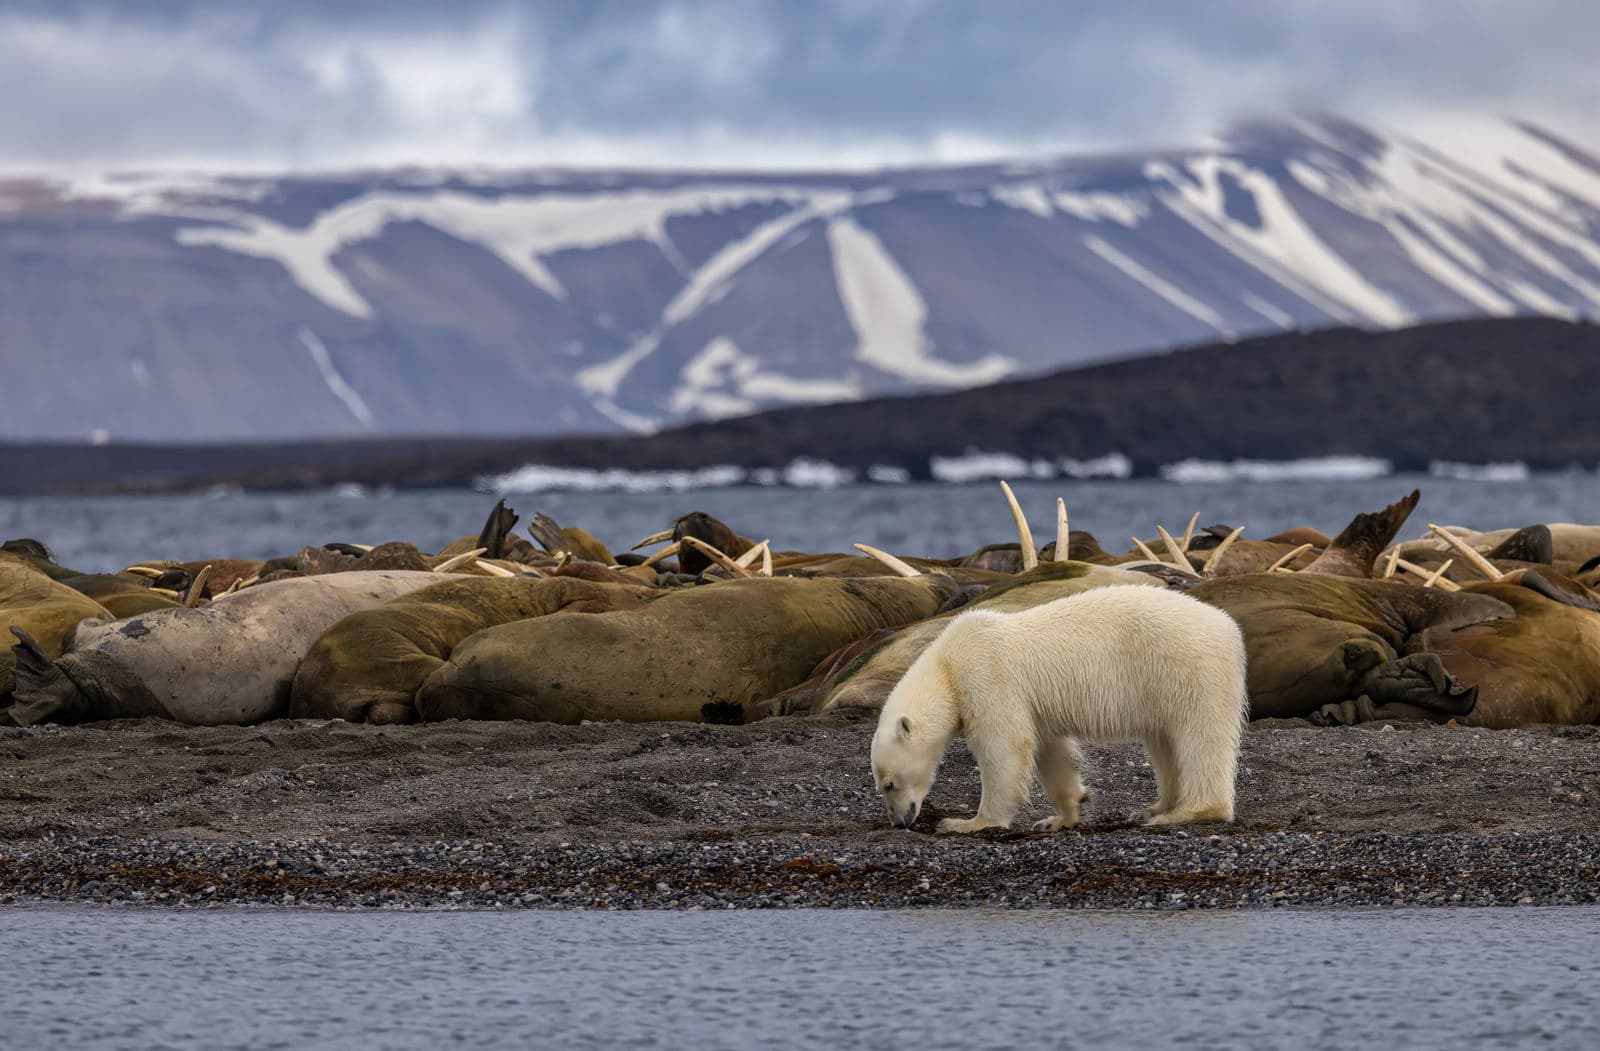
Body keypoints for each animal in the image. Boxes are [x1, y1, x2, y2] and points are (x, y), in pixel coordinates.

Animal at [870, 584, 1248, 833]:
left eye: (888, 784)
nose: (899, 821)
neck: (947, 664)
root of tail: (1229, 628)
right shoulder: (1032, 706)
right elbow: (1050, 751)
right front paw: (1063, 814)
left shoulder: (987, 676)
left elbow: (1005, 747)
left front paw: (966, 823)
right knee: (1164, 741)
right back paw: (1153, 808)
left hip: (1185, 668)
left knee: (1199, 737)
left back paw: (1184, 813)